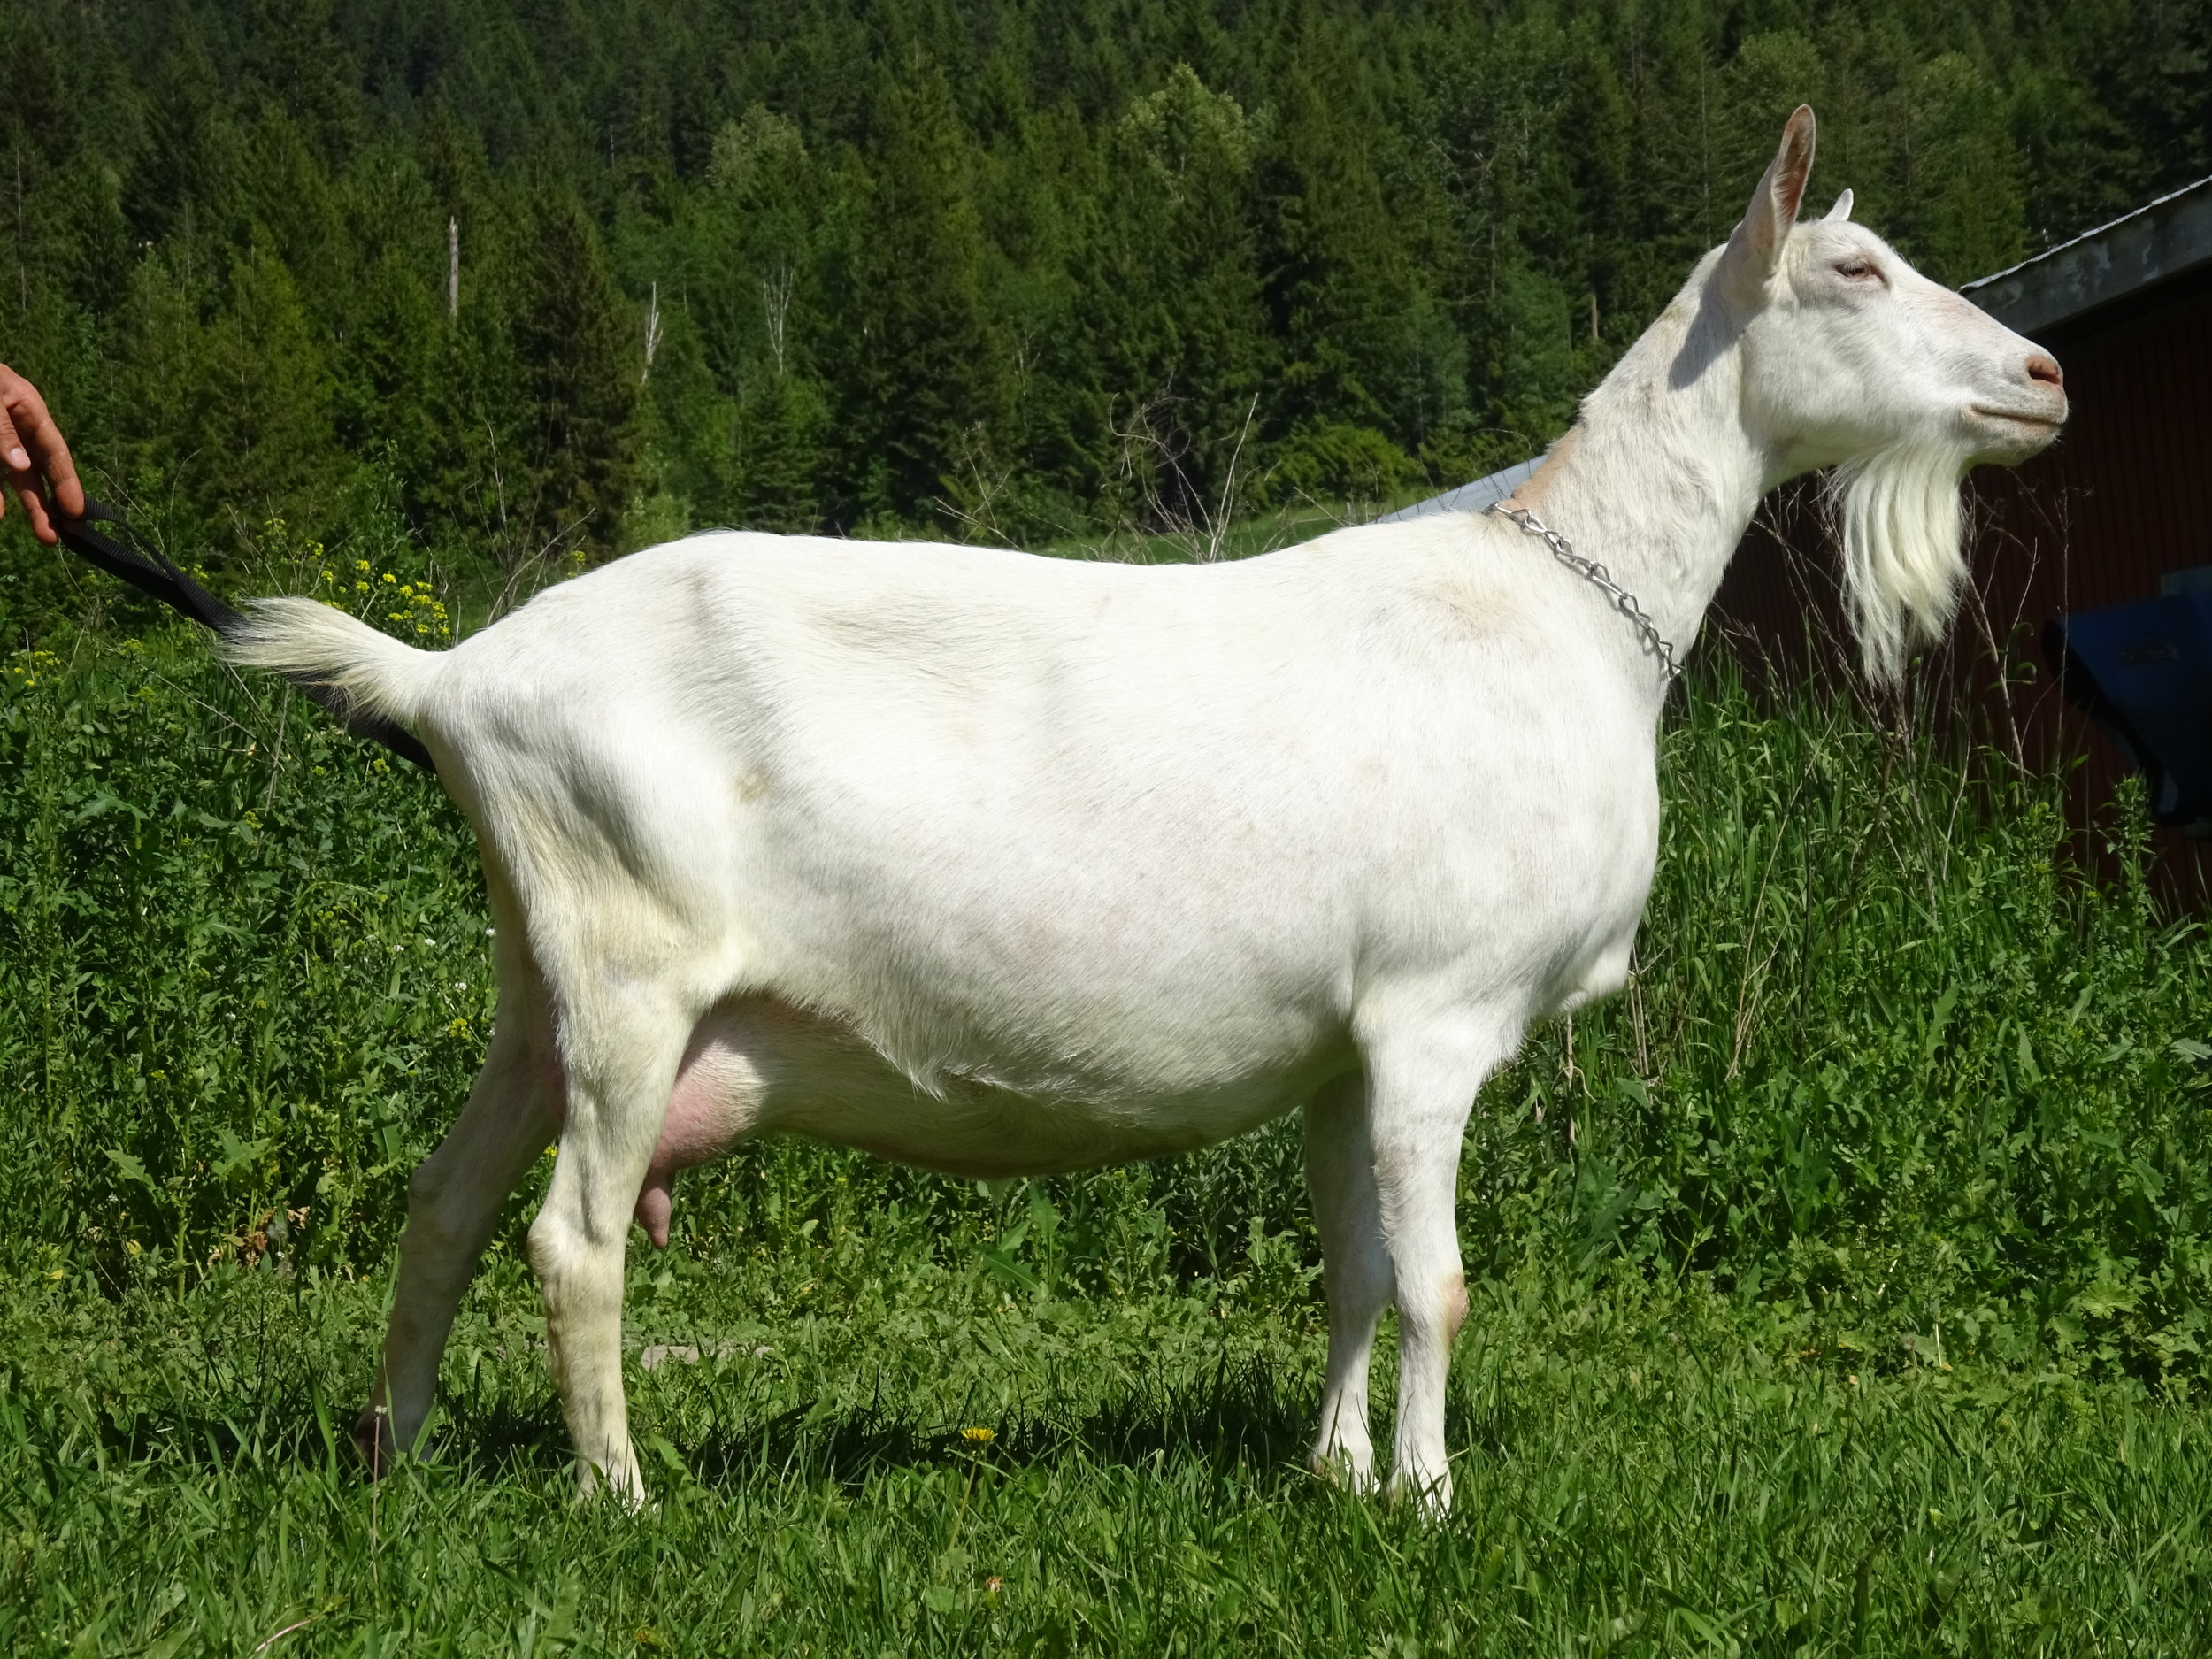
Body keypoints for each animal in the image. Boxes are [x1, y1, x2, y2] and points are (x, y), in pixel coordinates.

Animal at [225, 107, 2065, 1511]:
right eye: (1854, 271)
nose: (2044, 375)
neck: (1565, 604)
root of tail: (452, 676)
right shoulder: (1438, 1014)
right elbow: (1442, 1284)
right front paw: (1433, 1500)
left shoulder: (1347, 1043)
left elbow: (1356, 1268)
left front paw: (1335, 1474)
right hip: (629, 967)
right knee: (571, 1237)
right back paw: (618, 1494)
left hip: (537, 979)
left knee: (445, 1207)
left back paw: (398, 1457)